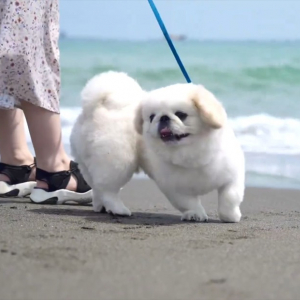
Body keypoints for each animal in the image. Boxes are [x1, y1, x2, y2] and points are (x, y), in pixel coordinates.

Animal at [71, 71, 245, 221]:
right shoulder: (174, 188)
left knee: (97, 188)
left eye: (181, 114)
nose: (163, 117)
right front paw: (196, 214)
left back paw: (100, 206)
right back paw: (118, 209)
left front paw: (231, 217)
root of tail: (95, 108)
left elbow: (230, 198)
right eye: (151, 117)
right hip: (117, 162)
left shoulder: (232, 176)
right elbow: (188, 203)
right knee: (108, 190)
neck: (190, 154)